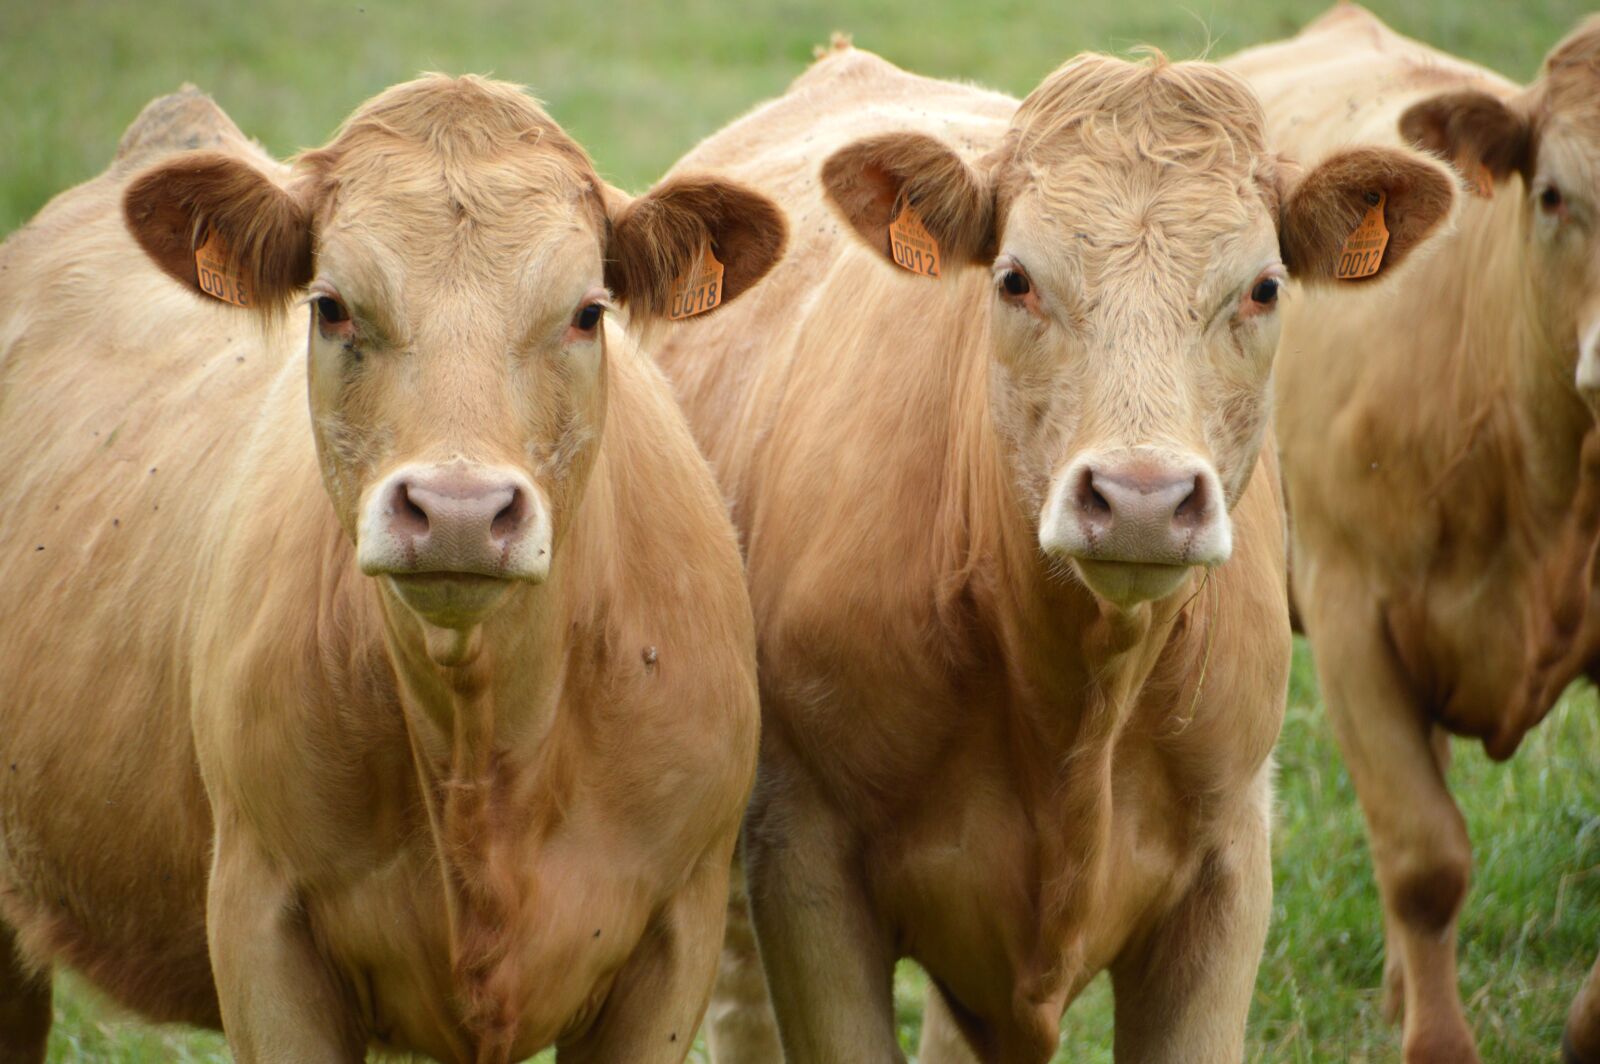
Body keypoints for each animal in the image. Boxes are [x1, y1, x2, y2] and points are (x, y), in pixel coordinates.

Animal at [644, 39, 1456, 1063]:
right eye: (1016, 279)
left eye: (1264, 287)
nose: (1142, 498)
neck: (1079, 698)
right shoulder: (804, 863)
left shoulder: (1230, 868)